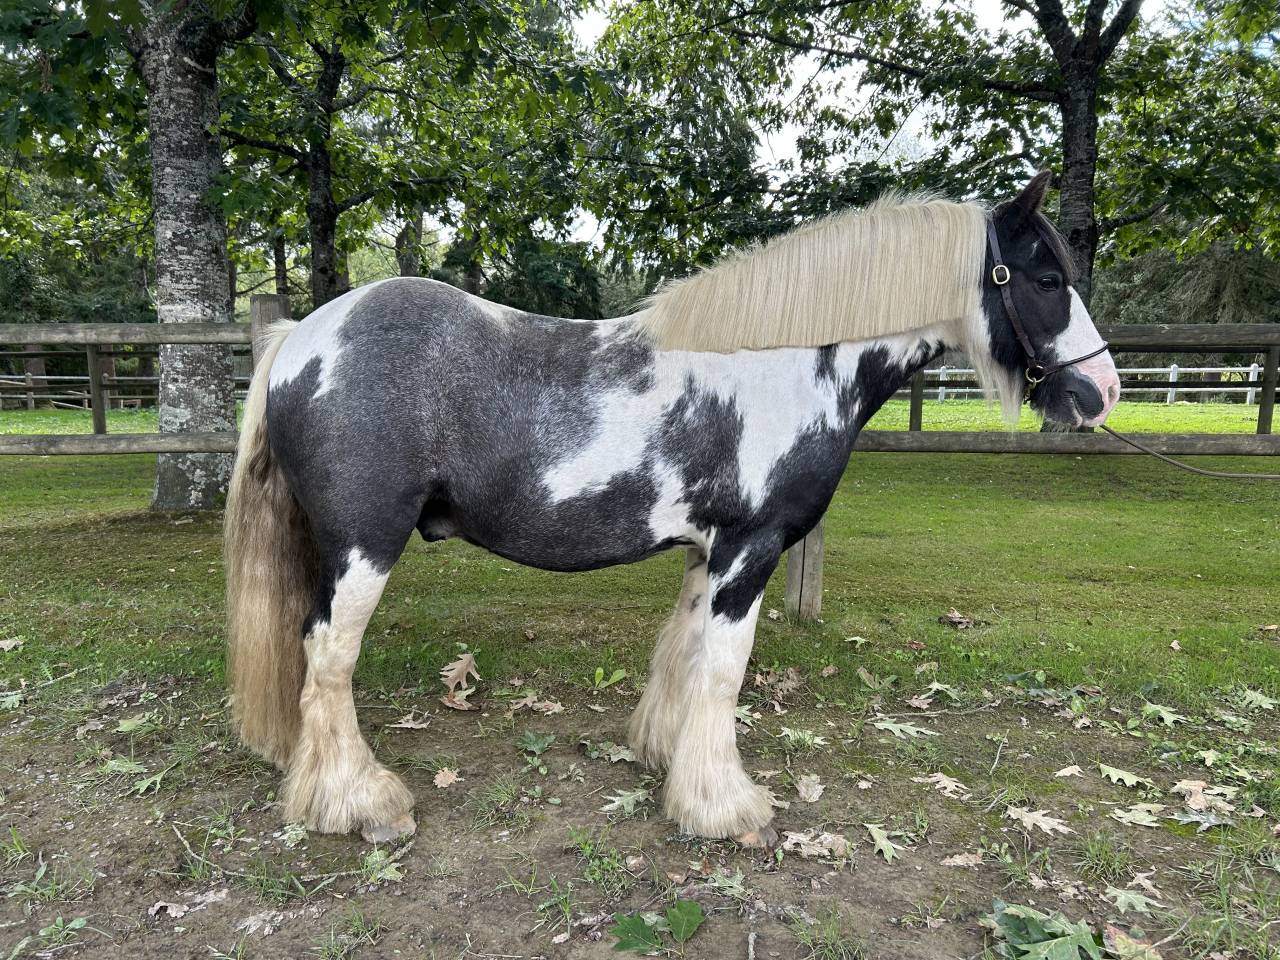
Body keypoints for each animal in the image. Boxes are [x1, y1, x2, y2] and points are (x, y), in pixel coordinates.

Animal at [224, 172, 1120, 846]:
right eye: (1047, 279)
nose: (1102, 391)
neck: (782, 362)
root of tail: (303, 336)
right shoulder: (752, 547)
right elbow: (724, 672)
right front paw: (726, 808)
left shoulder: (710, 549)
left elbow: (685, 654)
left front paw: (669, 760)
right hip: (364, 545)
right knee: (328, 655)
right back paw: (359, 803)